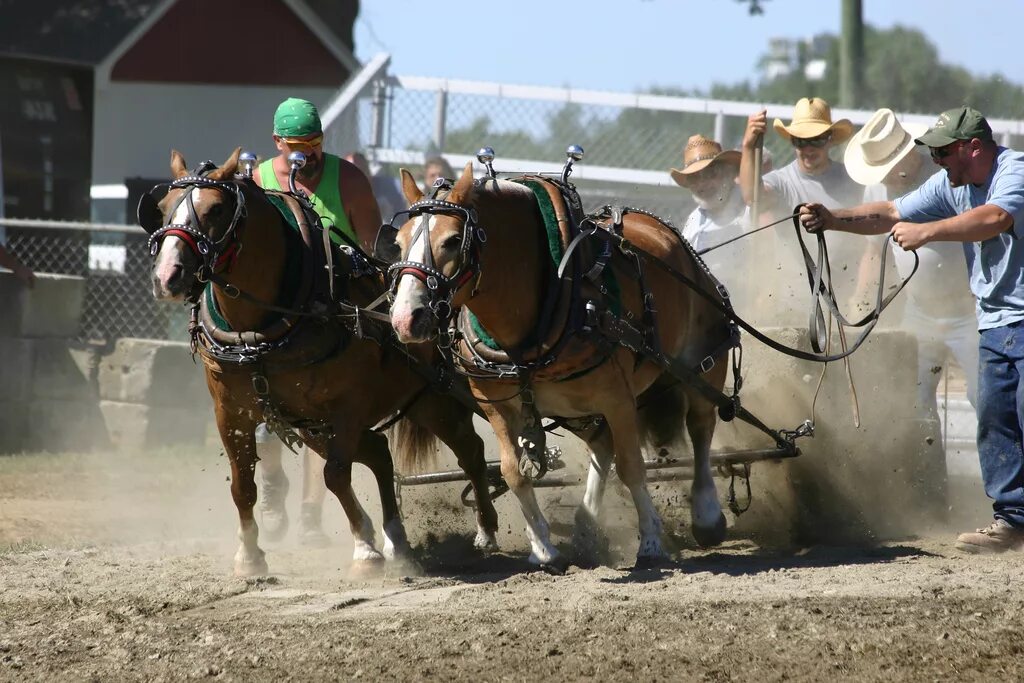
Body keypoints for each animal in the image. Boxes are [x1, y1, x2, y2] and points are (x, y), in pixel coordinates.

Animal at [148, 149, 499, 577]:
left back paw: (485, 530)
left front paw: (364, 550)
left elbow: (334, 475)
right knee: (380, 453)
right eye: (163, 207)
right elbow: (242, 485)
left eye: (215, 209)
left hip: (438, 401)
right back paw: (396, 539)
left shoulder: (346, 406)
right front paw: (249, 556)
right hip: (316, 423)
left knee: (471, 451)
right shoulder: (230, 412)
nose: (168, 276)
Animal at [387, 162, 733, 569]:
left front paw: (650, 542)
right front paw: (542, 548)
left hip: (702, 364)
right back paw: (584, 527)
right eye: (398, 242)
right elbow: (514, 472)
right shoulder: (496, 406)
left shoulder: (618, 399)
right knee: (602, 445)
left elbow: (633, 467)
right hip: (573, 407)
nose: (405, 319)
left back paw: (706, 514)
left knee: (700, 426)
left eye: (454, 240)